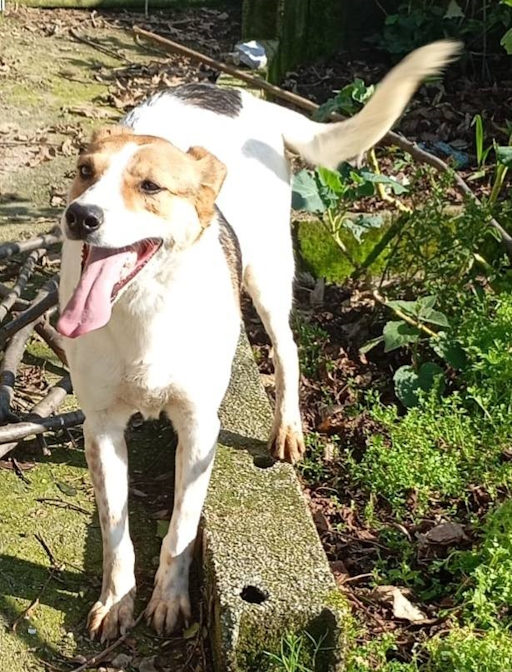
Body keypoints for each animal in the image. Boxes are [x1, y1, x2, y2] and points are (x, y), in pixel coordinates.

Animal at [57, 40, 460, 640]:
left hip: (268, 272)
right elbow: (116, 531)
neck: (142, 308)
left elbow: (181, 529)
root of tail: (248, 97)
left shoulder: (199, 425)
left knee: (287, 346)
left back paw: (287, 427)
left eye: (150, 187)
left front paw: (170, 599)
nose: (79, 216)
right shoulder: (101, 426)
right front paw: (116, 601)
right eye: (85, 173)